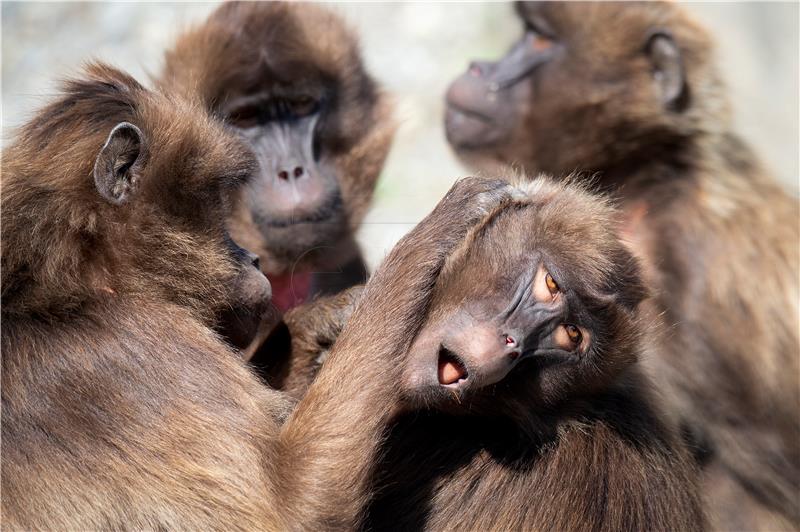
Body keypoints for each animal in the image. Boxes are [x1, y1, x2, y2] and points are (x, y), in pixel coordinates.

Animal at [0, 61, 512, 528]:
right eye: (214, 203)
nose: (250, 257)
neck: (74, 278)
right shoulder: (131, 352)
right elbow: (294, 510)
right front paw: (429, 238)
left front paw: (332, 316)